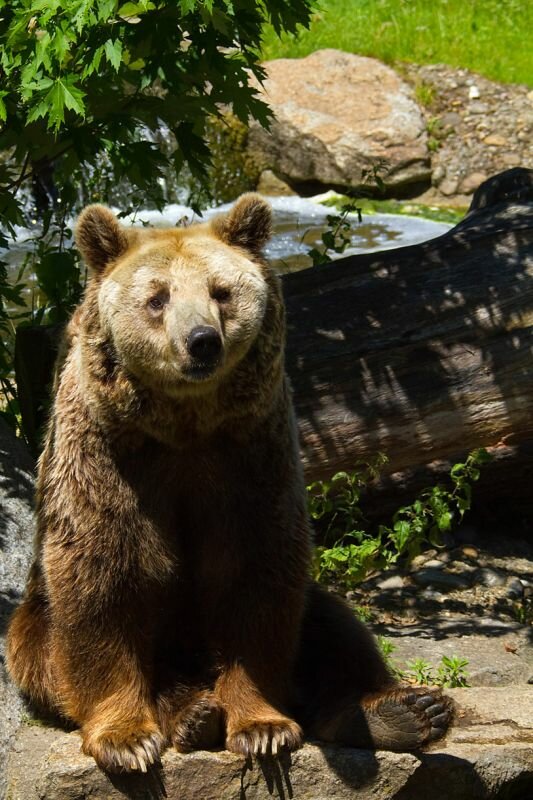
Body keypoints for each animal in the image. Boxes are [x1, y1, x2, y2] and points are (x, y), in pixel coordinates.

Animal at [6, 191, 450, 772]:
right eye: (157, 298)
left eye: (220, 292)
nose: (201, 342)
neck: (184, 422)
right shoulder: (107, 457)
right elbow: (101, 574)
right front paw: (126, 738)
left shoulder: (251, 454)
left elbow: (258, 576)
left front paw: (263, 727)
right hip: (35, 624)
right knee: (42, 651)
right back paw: (192, 714)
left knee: (336, 625)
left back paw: (401, 712)